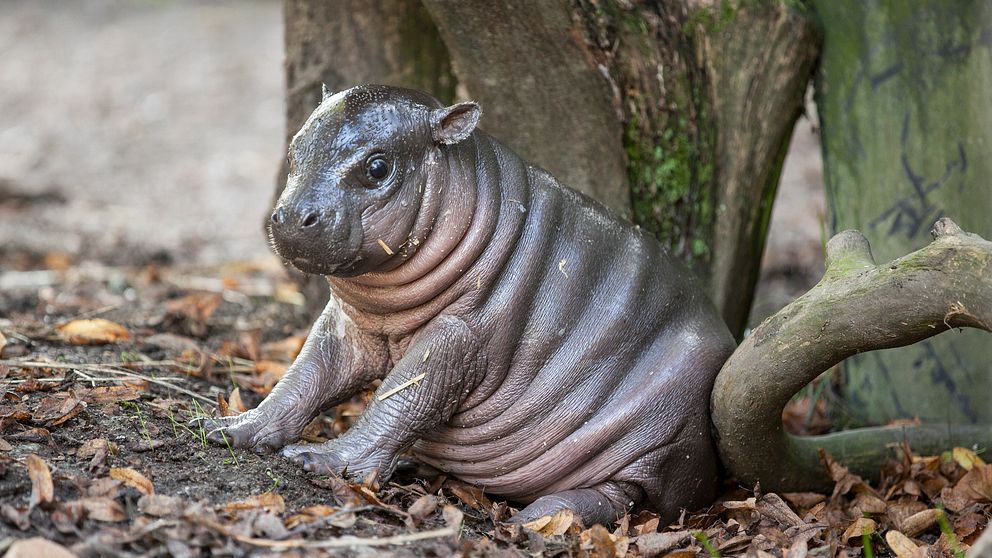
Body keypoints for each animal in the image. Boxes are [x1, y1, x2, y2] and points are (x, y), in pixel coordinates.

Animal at [198, 85, 732, 528]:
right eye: (293, 150)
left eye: (378, 166)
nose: (291, 216)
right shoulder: (348, 325)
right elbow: (304, 377)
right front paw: (225, 427)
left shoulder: (461, 335)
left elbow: (402, 397)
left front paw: (319, 460)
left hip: (663, 439)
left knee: (621, 497)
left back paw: (533, 521)